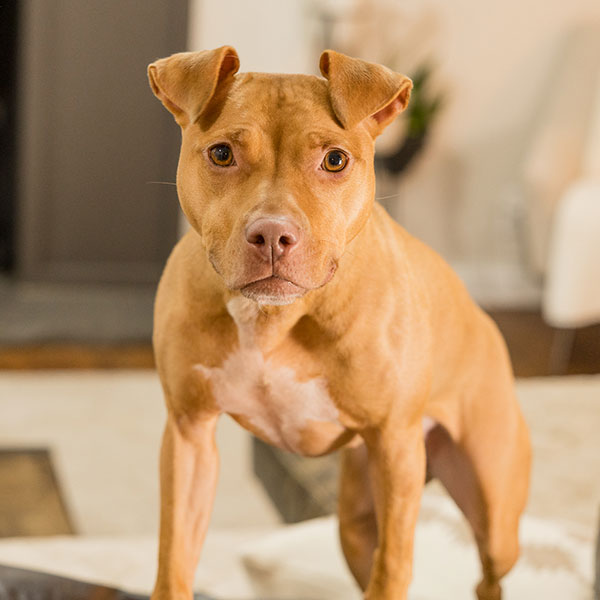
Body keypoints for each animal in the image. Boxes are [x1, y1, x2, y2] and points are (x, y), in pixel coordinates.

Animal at [147, 46, 531, 600]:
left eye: (334, 160)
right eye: (221, 154)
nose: (272, 234)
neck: (273, 318)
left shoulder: (395, 447)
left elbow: (394, 567)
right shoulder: (189, 435)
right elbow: (175, 555)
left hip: (495, 517)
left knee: (488, 574)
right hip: (354, 519)